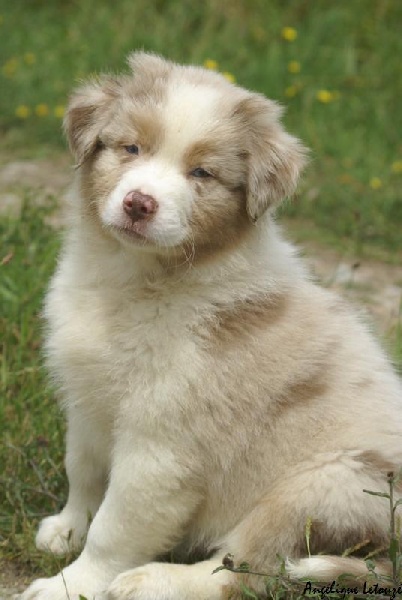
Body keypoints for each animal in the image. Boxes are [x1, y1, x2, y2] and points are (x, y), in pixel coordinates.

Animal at [21, 53, 402, 600]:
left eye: (201, 172)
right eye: (131, 147)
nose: (139, 203)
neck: (137, 280)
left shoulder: (162, 446)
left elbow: (115, 527)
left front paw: (70, 585)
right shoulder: (88, 400)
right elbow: (84, 470)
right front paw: (67, 528)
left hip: (323, 485)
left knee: (247, 569)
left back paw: (152, 582)